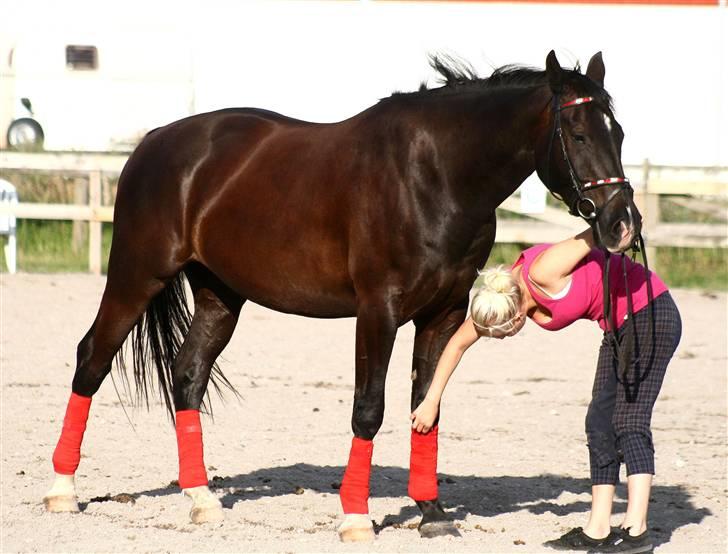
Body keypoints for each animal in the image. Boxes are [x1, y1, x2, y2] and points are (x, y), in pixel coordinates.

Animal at [44, 51, 636, 540]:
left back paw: (202, 499)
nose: (622, 223)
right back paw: (62, 491)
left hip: (220, 295)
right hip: (136, 276)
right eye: (578, 135)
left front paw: (432, 512)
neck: (436, 174)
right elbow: (368, 409)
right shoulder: (379, 311)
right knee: (92, 359)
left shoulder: (441, 316)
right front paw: (356, 518)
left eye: (621, 133)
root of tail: (156, 140)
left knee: (187, 375)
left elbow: (427, 406)